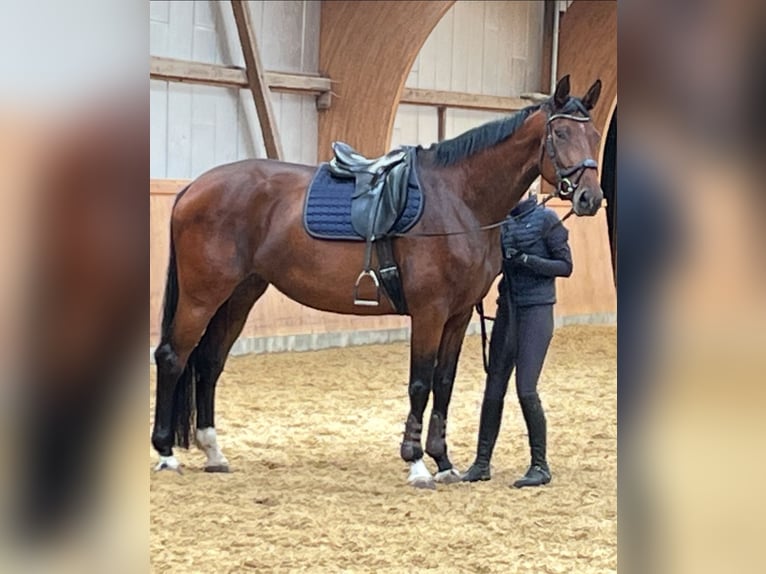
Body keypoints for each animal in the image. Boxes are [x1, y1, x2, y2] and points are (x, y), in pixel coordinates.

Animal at [151, 75, 604, 489]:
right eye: (561, 133)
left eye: (595, 134)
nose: (590, 198)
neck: (459, 199)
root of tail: (193, 188)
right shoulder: (429, 312)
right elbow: (420, 383)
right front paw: (417, 464)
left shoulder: (458, 316)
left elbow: (444, 383)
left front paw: (444, 463)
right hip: (202, 295)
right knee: (173, 357)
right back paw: (166, 454)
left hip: (241, 294)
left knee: (209, 362)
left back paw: (213, 451)